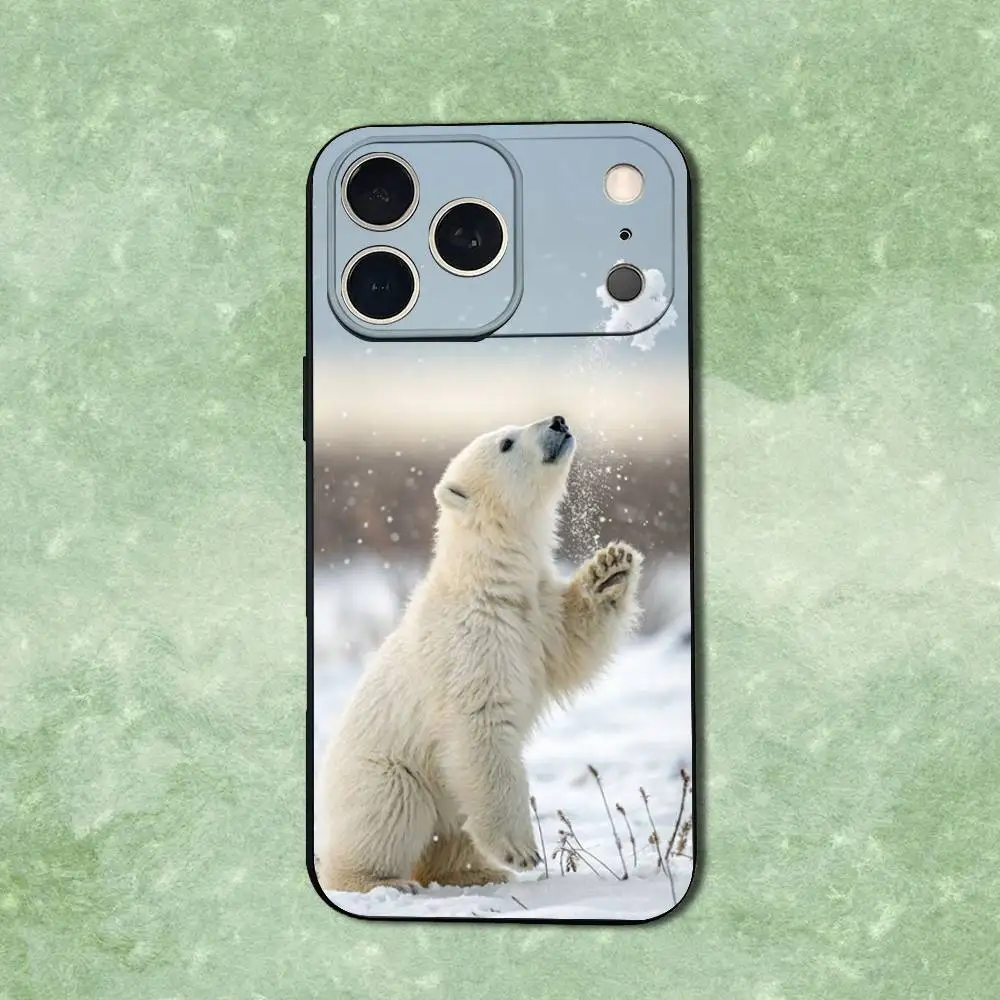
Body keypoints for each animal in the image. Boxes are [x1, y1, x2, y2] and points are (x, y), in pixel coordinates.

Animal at [315, 415, 643, 896]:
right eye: (507, 442)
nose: (558, 420)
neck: (489, 581)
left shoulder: (537, 617)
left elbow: (573, 646)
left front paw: (611, 568)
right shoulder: (472, 640)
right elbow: (480, 726)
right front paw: (521, 850)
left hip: (448, 797)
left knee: (452, 833)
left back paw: (476, 873)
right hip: (389, 771)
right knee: (392, 809)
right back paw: (382, 881)